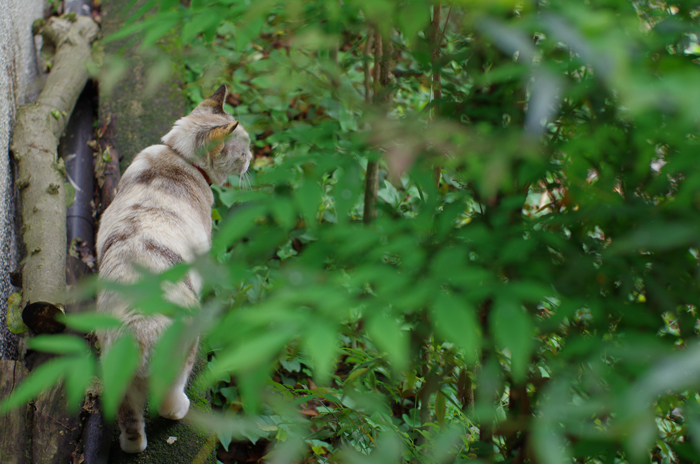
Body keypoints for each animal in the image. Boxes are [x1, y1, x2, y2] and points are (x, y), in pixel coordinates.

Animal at [95, 85, 252, 452]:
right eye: (244, 150)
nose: (253, 157)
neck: (178, 157)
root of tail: (135, 331)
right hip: (184, 352)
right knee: (168, 399)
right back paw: (180, 409)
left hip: (117, 378)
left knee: (131, 423)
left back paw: (132, 446)